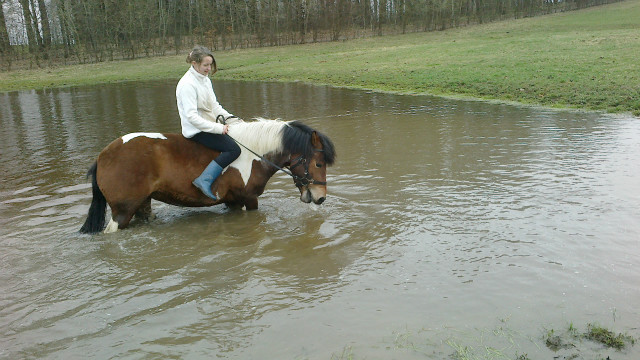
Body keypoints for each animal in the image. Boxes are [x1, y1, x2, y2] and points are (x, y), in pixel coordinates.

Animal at [79, 119, 336, 235]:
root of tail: (103, 156)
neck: (252, 153)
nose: (321, 197)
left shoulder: (233, 202)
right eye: (319, 163)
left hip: (142, 206)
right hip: (122, 212)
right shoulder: (249, 199)